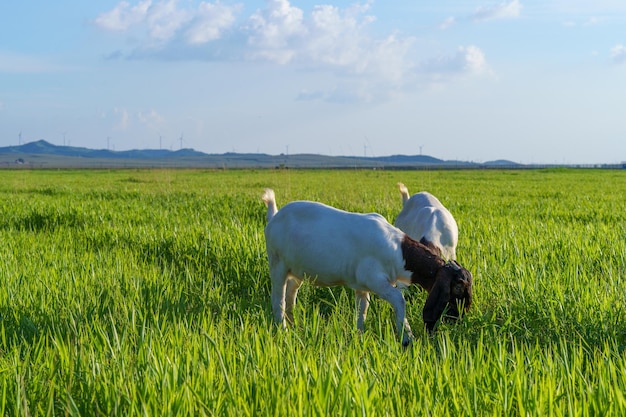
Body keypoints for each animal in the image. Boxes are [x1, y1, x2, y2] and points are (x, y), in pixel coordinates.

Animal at [260, 188, 470, 344]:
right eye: (458, 286)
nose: (461, 317)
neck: (398, 250)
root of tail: (275, 217)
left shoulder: (362, 287)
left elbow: (362, 310)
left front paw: (359, 336)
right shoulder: (376, 281)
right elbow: (399, 299)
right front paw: (407, 338)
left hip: (296, 271)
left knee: (291, 294)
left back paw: (293, 324)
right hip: (277, 265)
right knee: (278, 300)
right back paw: (283, 330)